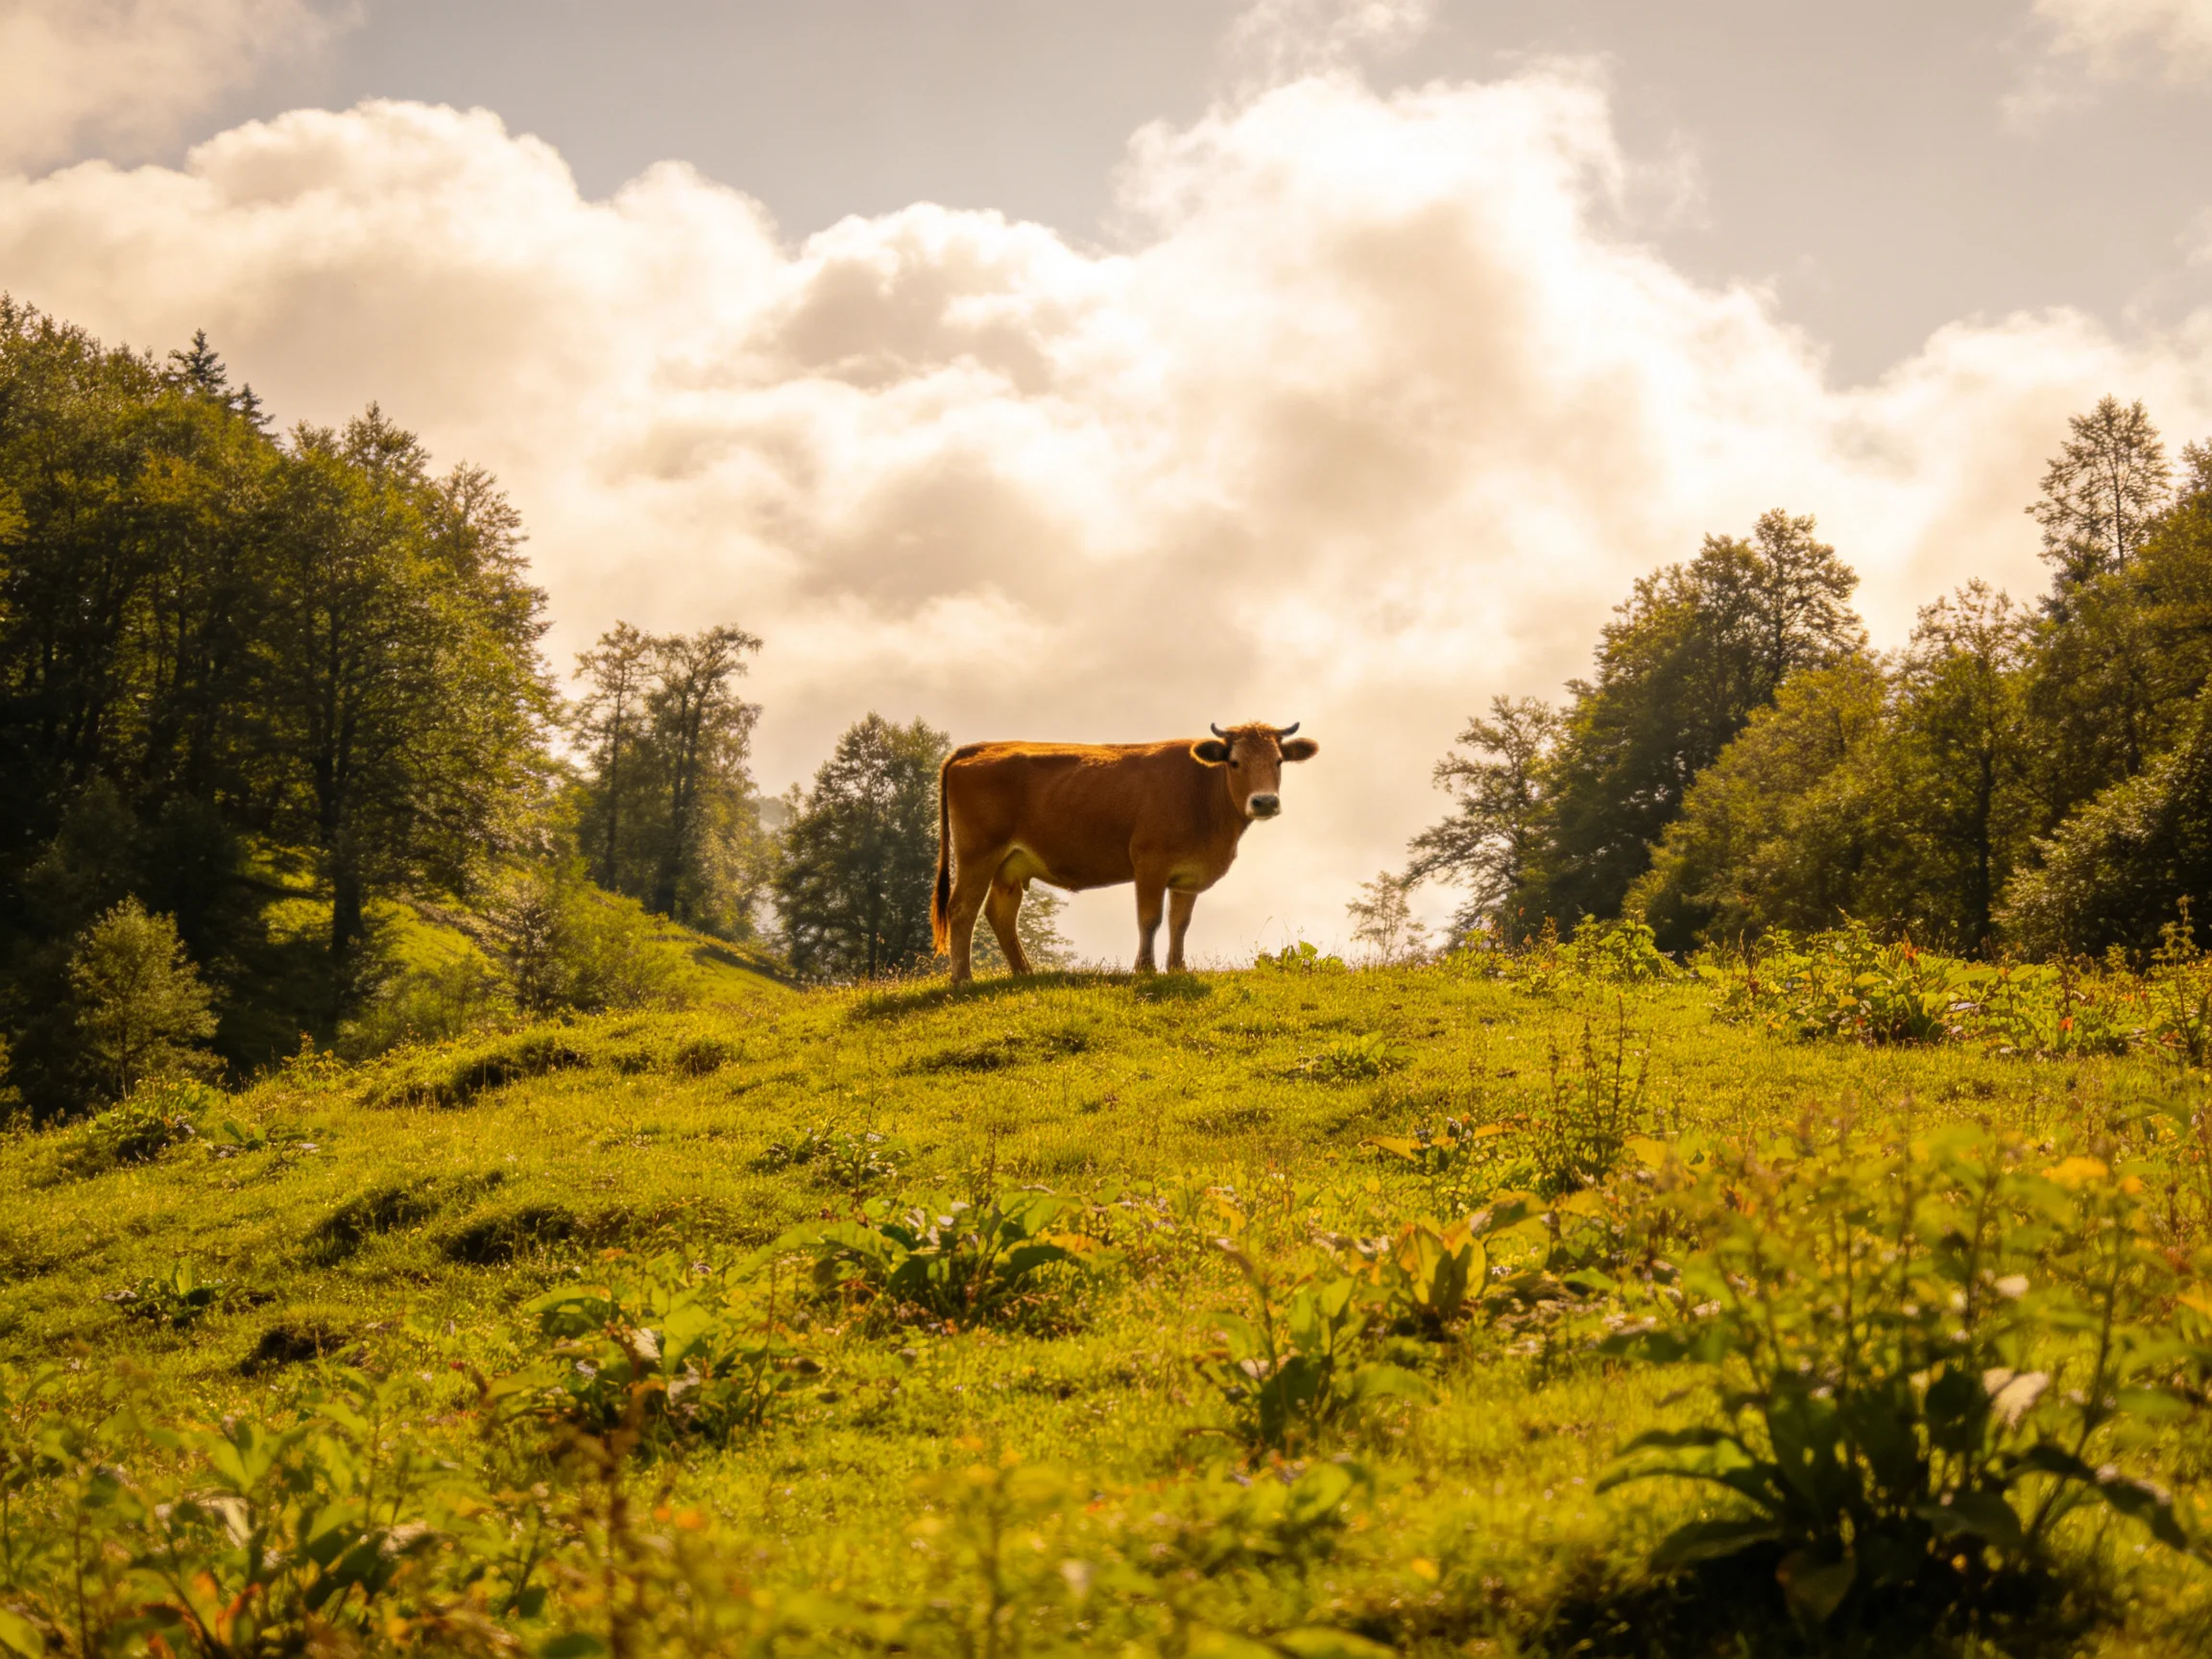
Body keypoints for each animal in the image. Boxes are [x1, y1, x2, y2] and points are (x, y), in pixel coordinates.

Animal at [930, 720, 1319, 984]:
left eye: (1278, 761)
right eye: (1235, 762)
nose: (1264, 801)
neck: (1203, 791)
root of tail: (980, 747)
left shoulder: (1188, 875)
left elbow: (1180, 922)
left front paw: (1177, 968)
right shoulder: (1149, 863)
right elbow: (1150, 919)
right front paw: (1144, 968)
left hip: (1011, 864)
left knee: (1000, 913)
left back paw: (1025, 972)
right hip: (977, 855)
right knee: (962, 910)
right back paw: (963, 978)